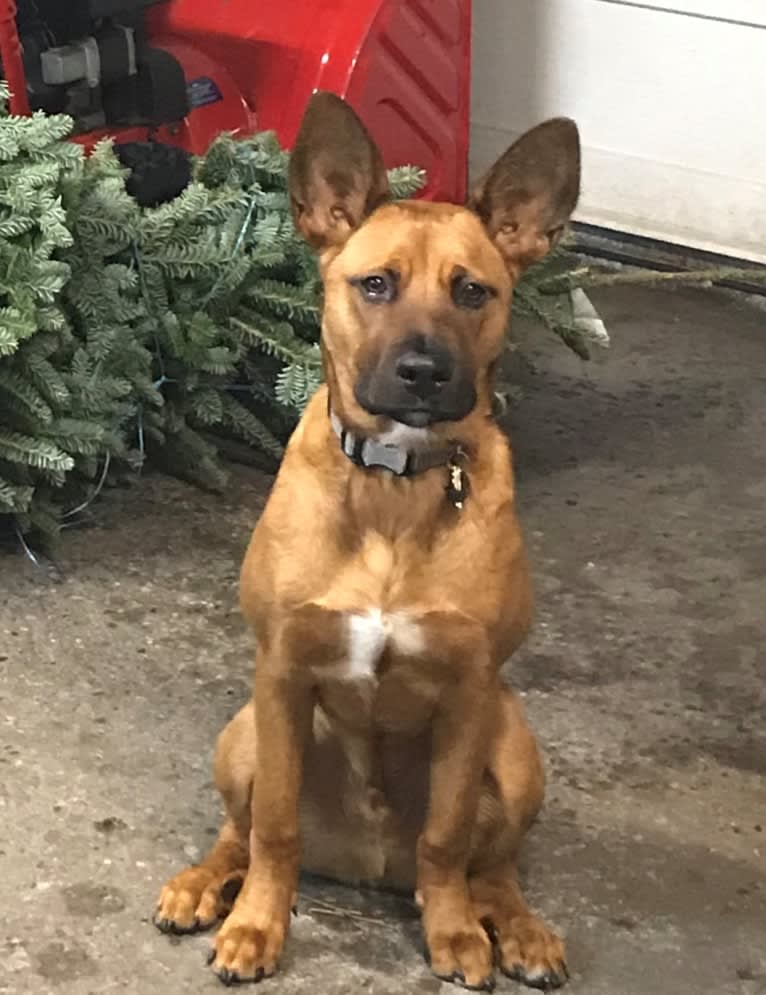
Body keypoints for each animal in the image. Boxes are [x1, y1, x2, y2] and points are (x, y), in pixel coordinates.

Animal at [153, 89, 580, 992]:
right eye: (375, 284)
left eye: (473, 292)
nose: (423, 370)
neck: (395, 488)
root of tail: (365, 864)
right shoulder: (281, 674)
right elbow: (274, 827)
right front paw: (257, 924)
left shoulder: (470, 691)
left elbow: (448, 835)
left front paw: (455, 930)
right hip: (241, 732)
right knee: (239, 830)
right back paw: (205, 884)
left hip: (516, 745)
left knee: (495, 862)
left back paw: (515, 925)